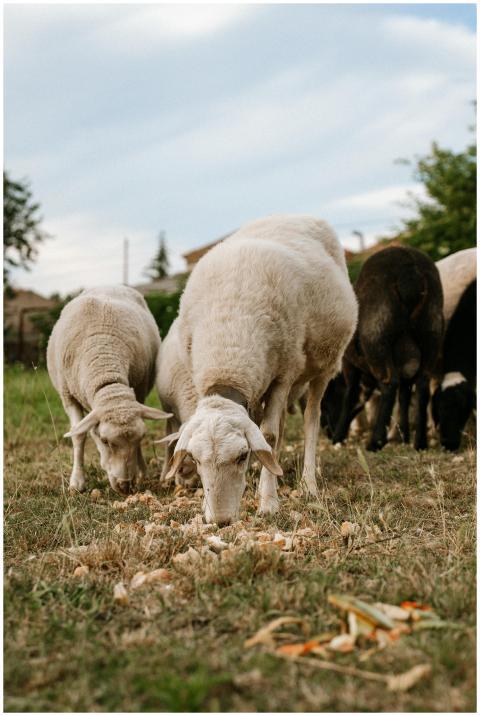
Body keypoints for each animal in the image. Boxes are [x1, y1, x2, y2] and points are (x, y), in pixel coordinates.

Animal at [47, 285, 171, 494]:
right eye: (105, 441)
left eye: (141, 437)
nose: (125, 486)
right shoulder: (68, 397)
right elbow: (78, 435)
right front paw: (77, 481)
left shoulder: (138, 391)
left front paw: (140, 472)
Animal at [158, 215, 358, 524]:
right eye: (196, 459)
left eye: (241, 456)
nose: (221, 520)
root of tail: (295, 215)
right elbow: (266, 436)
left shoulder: (284, 373)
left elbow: (270, 436)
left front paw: (268, 502)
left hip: (324, 365)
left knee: (311, 417)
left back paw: (308, 482)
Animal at [332, 245, 444, 451]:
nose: (327, 430)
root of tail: (410, 270)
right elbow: (404, 397)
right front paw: (403, 435)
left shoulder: (349, 364)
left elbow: (351, 397)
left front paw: (338, 436)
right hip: (431, 332)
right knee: (422, 385)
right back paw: (419, 442)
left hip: (377, 338)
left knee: (390, 383)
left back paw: (375, 442)